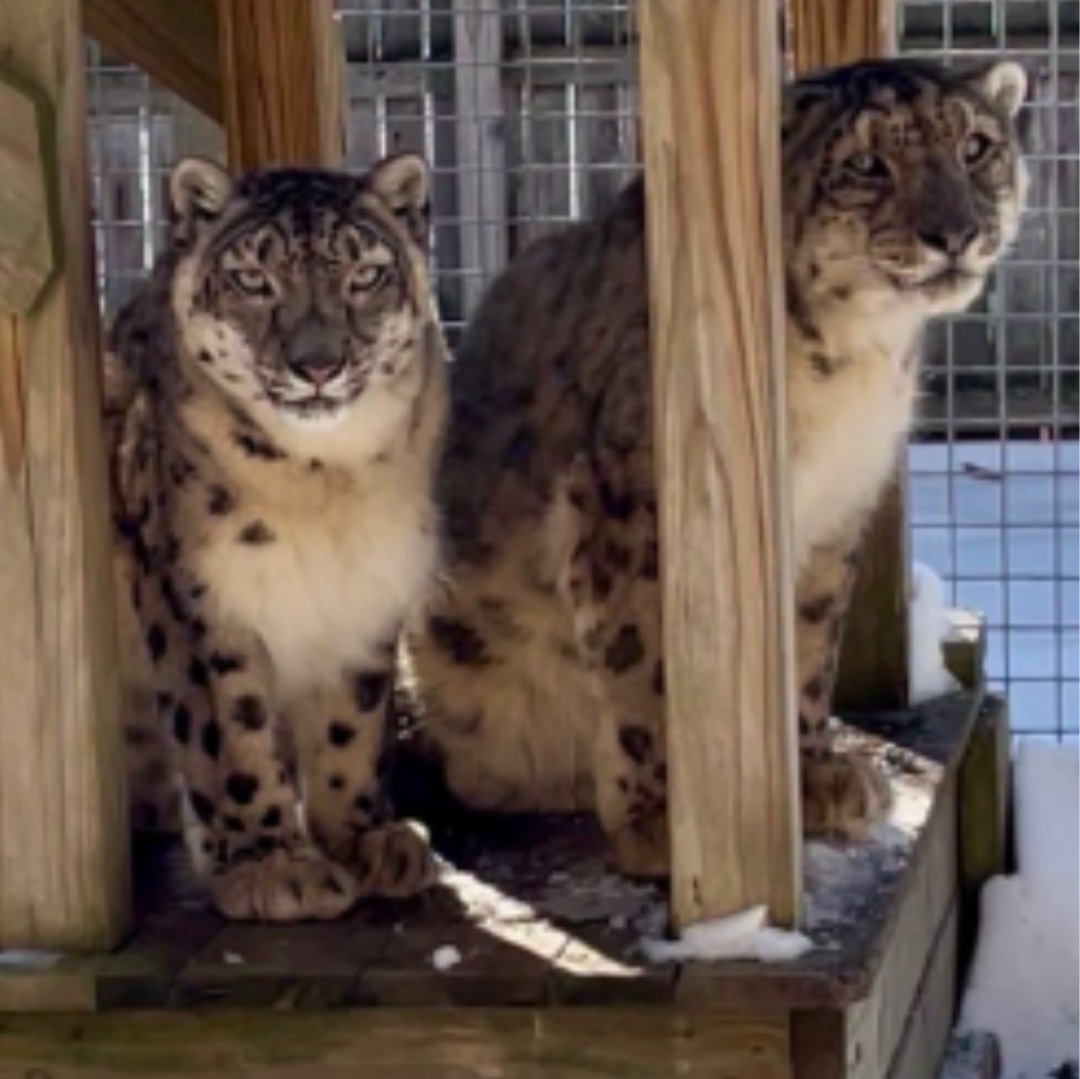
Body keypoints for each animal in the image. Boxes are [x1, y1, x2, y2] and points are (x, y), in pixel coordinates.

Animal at [108, 153, 450, 921]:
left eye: (365, 275)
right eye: (252, 280)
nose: (317, 365)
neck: (322, 486)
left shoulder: (367, 595)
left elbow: (353, 725)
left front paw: (365, 838)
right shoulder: (201, 600)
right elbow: (228, 731)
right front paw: (272, 865)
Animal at [403, 58, 1029, 878]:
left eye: (977, 145)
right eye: (866, 164)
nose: (954, 232)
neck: (855, 360)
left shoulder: (832, 514)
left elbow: (809, 647)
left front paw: (814, 775)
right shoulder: (632, 502)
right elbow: (647, 664)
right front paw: (663, 821)